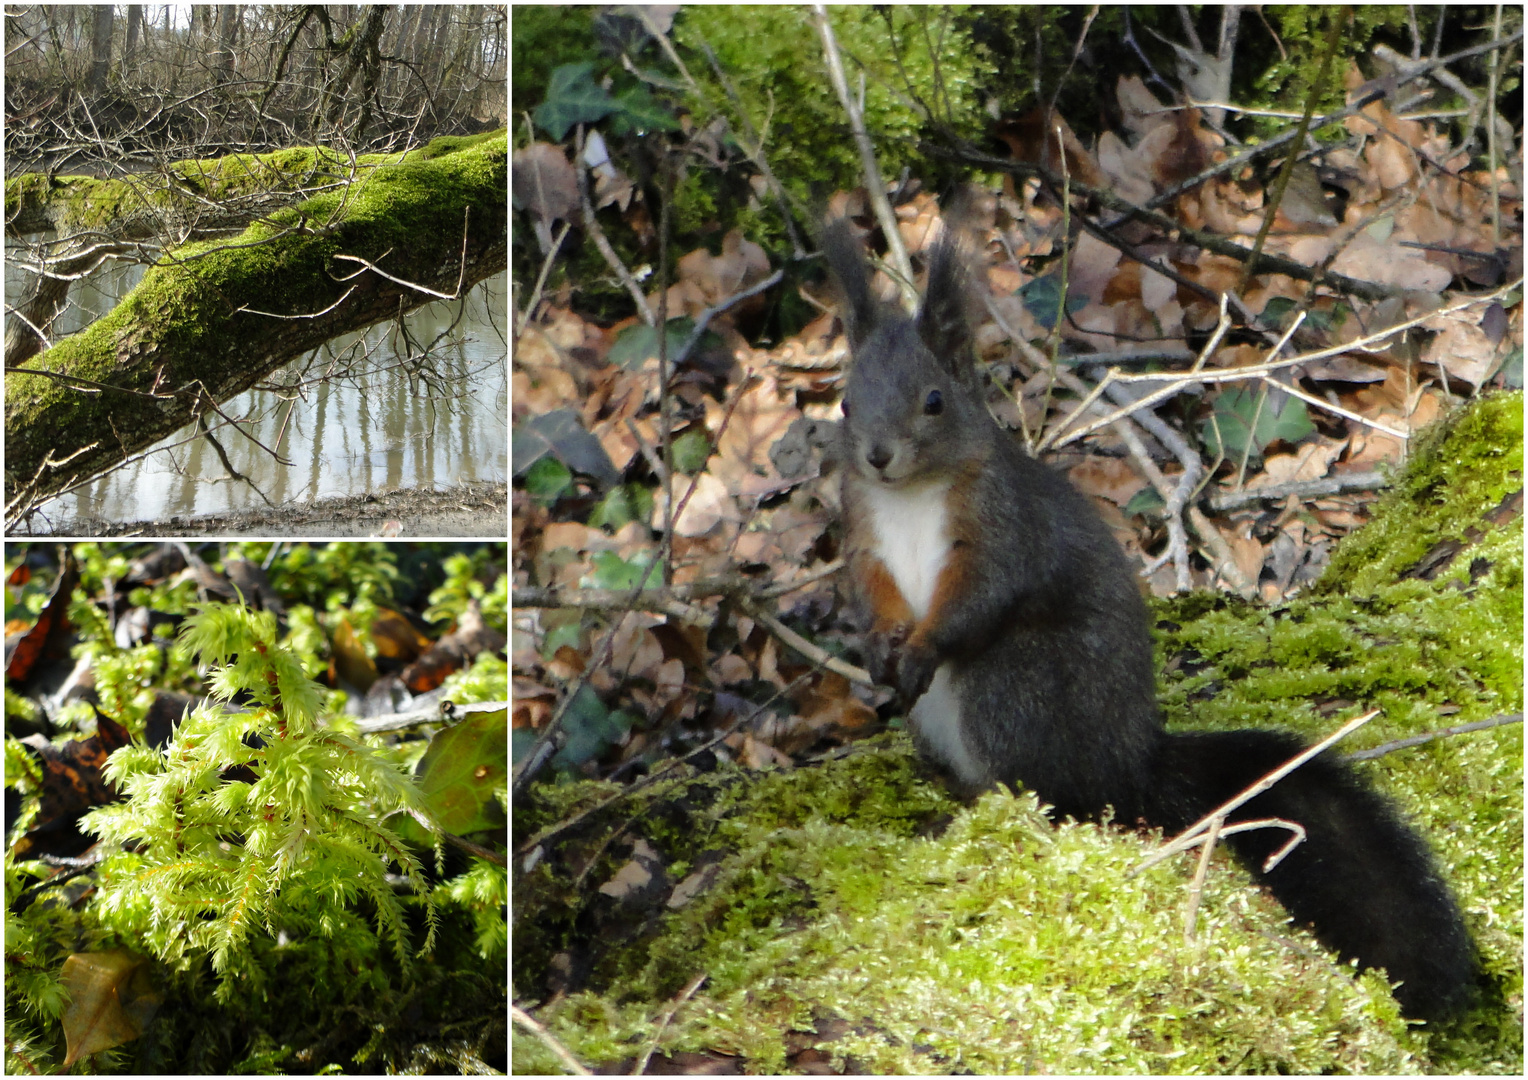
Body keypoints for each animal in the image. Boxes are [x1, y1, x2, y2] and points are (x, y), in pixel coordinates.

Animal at [825, 219, 1479, 1020]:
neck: (911, 498)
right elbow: (873, 595)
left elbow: (978, 599)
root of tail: (1132, 764)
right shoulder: (865, 537)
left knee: (1054, 793)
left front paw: (920, 649)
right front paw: (877, 652)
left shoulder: (1002, 529)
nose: (878, 456)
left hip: (1013, 686)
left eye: (935, 401)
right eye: (845, 404)